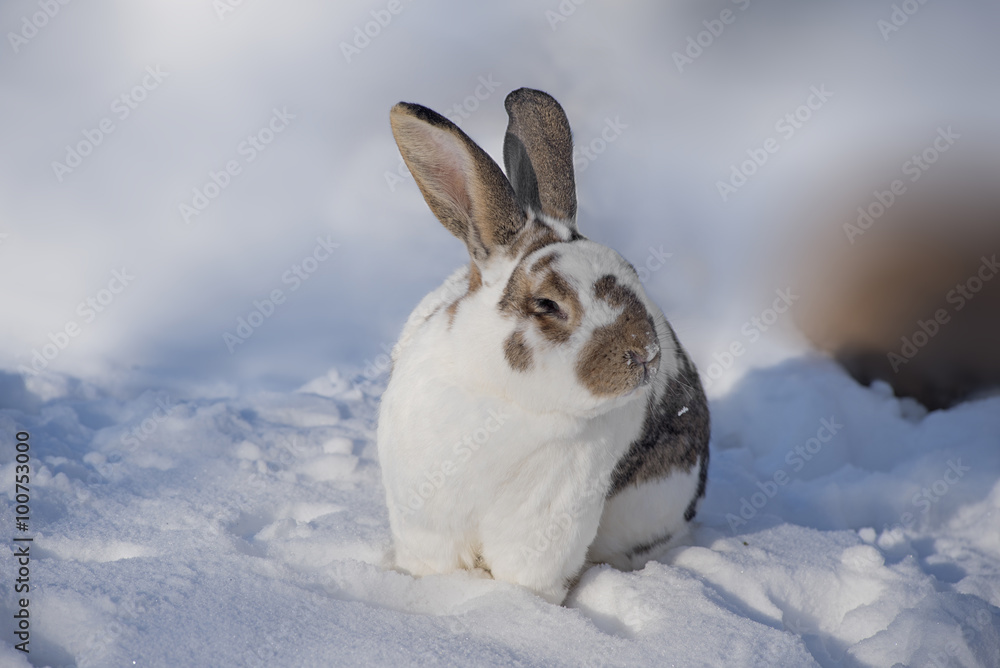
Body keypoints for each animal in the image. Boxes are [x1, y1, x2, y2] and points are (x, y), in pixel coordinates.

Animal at [377, 87, 710, 604]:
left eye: (634, 275)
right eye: (548, 304)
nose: (645, 355)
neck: (500, 399)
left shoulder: (543, 530)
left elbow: (526, 579)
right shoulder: (426, 522)